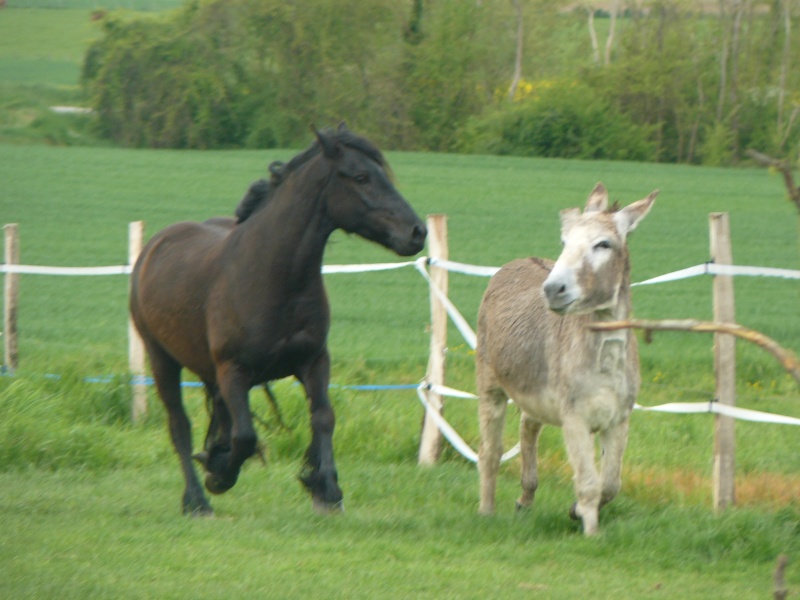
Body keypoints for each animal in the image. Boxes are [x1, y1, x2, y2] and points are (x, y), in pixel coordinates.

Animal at [130, 124, 428, 512]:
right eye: (361, 176)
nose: (417, 232)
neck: (275, 276)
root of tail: (153, 247)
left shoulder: (313, 361)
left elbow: (323, 417)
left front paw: (326, 490)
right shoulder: (234, 371)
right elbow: (244, 435)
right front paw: (220, 477)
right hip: (162, 360)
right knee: (179, 425)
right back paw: (197, 500)